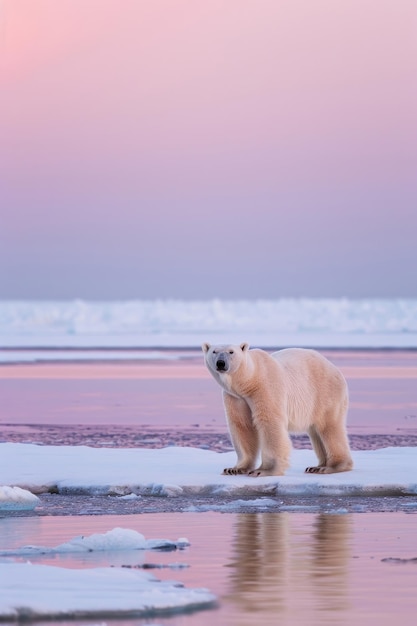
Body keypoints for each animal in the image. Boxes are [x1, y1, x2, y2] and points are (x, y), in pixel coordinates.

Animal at [202, 342, 352, 472]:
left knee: (329, 426)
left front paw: (265, 470)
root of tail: (334, 368)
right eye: (214, 351)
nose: (221, 363)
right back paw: (316, 466)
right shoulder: (236, 397)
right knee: (316, 431)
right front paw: (235, 469)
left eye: (231, 352)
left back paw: (332, 467)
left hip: (324, 393)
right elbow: (242, 425)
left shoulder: (265, 387)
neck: (248, 381)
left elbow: (269, 422)